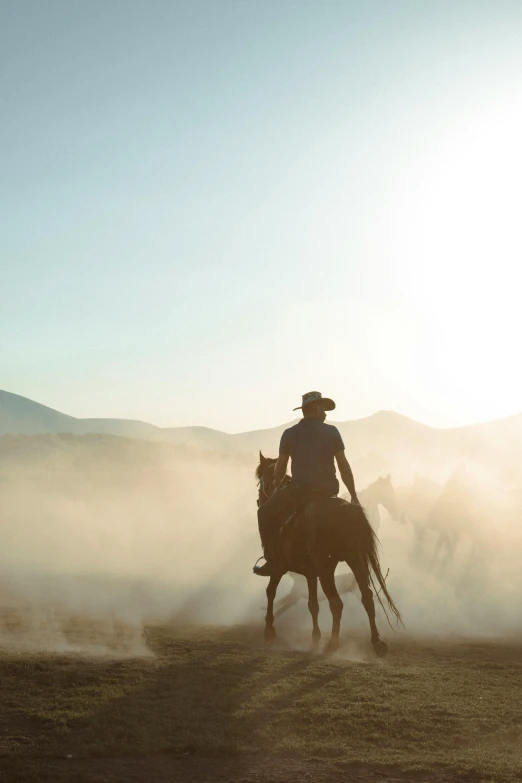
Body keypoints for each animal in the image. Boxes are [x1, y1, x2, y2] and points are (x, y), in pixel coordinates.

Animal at [254, 454, 400, 656]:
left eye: (260, 482)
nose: (259, 500)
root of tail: (346, 510)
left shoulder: (279, 567)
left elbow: (271, 592)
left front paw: (269, 629)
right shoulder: (310, 573)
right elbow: (313, 605)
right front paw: (315, 637)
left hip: (326, 567)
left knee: (337, 603)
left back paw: (333, 643)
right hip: (356, 560)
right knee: (367, 597)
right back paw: (377, 642)